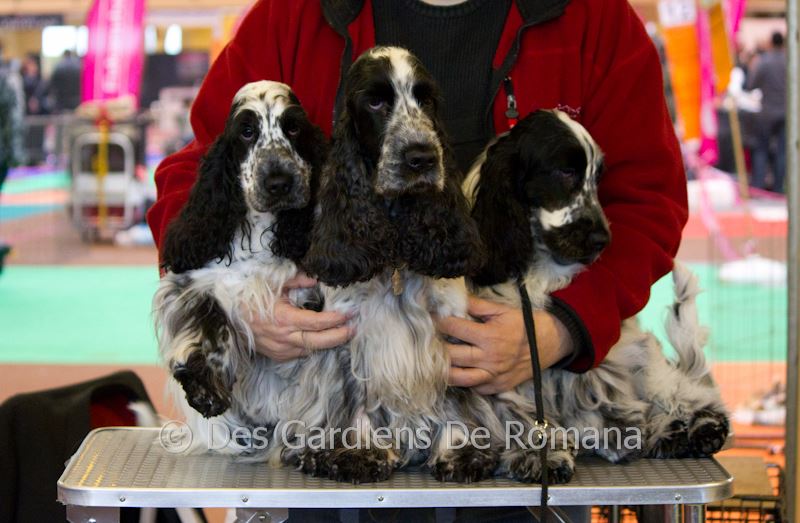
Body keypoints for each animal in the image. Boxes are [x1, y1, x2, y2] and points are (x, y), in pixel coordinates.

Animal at [153, 80, 328, 456]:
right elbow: (209, 319)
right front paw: (205, 388)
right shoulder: (196, 280)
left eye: (293, 127)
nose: (278, 182)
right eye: (247, 131)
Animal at [272, 47, 496, 486]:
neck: (393, 241)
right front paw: (358, 453)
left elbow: (456, 395)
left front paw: (461, 453)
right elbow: (354, 395)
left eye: (426, 100)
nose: (422, 157)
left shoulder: (450, 328)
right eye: (375, 102)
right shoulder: (349, 334)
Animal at [462, 108, 732, 468]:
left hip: (647, 358)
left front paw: (616, 431)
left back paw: (696, 428)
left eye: (596, 178)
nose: (603, 239)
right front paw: (536, 453)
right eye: (565, 171)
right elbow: (517, 407)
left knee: (683, 392)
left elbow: (596, 384)